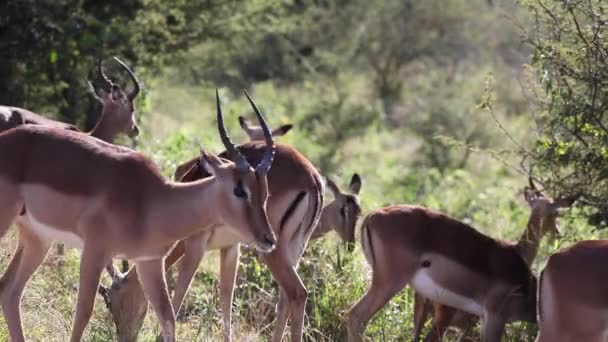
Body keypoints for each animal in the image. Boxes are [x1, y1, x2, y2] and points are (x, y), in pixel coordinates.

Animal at [0, 91, 278, 342]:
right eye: (239, 189)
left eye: (265, 191)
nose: (269, 239)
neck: (151, 201)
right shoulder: (94, 252)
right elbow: (83, 314)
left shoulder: (149, 262)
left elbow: (168, 318)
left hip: (37, 239)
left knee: (9, 290)